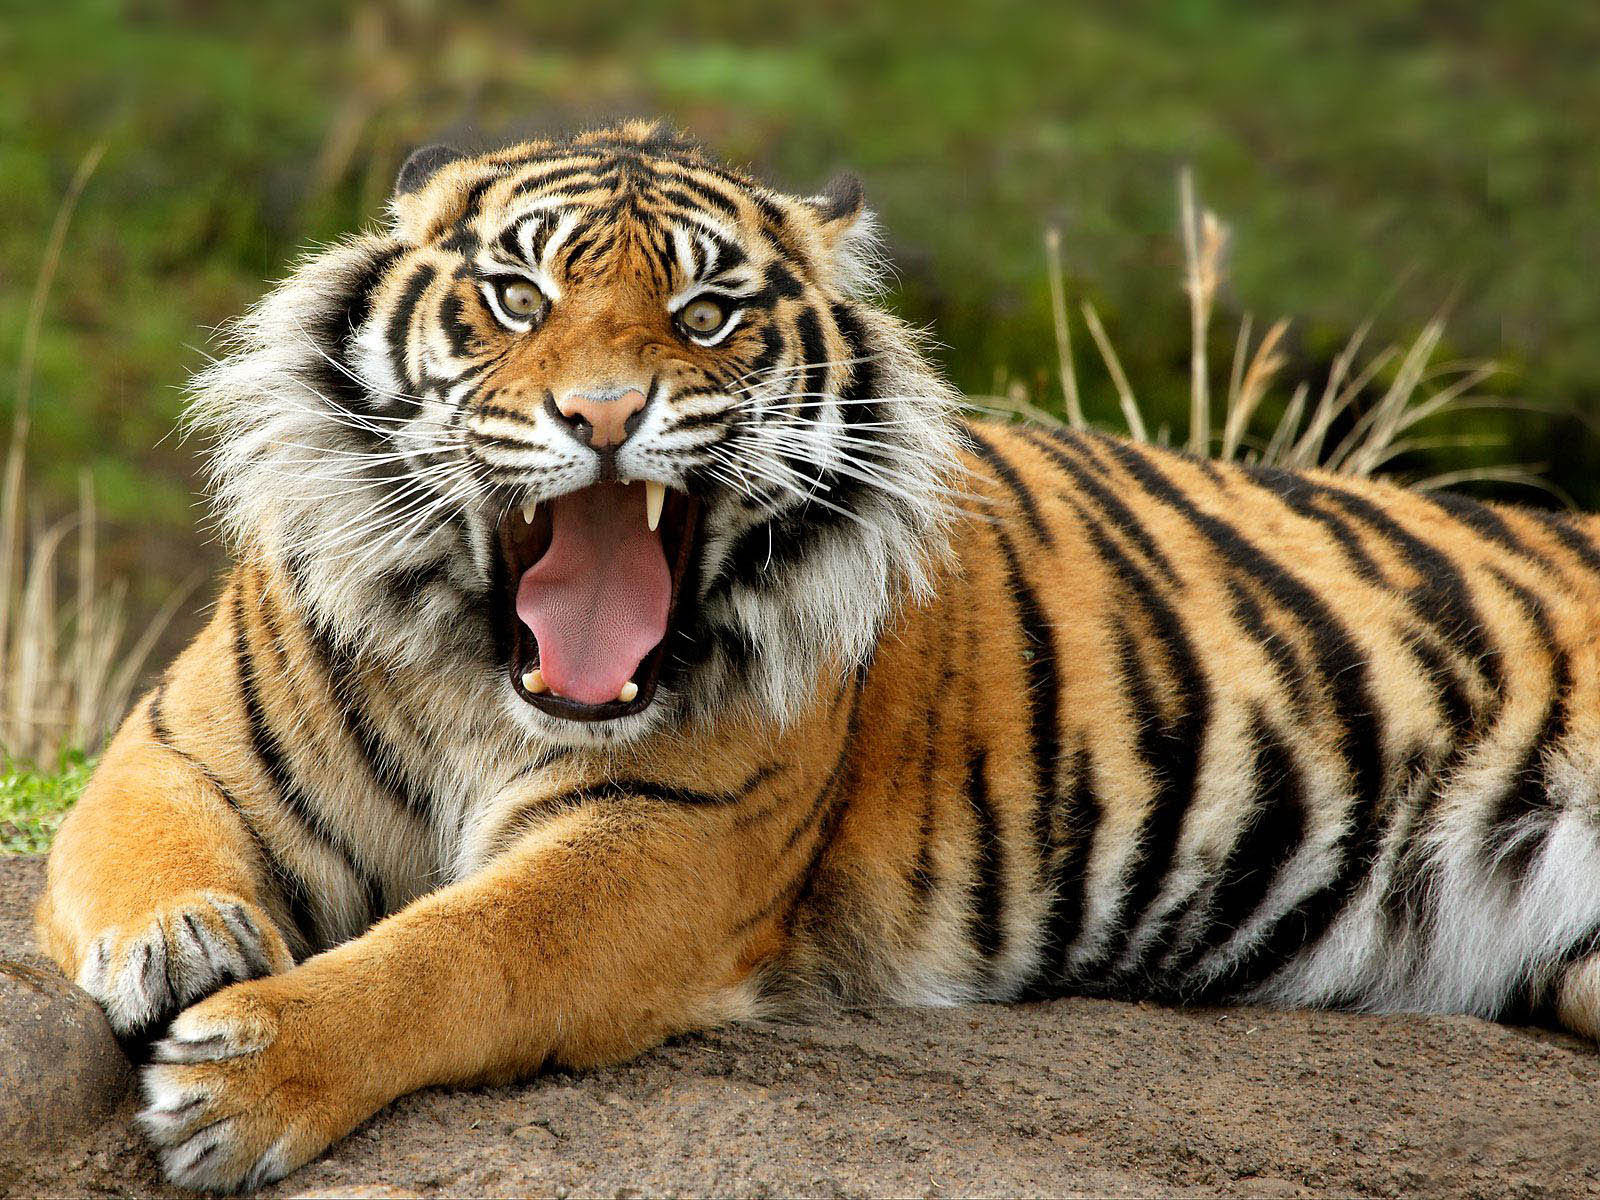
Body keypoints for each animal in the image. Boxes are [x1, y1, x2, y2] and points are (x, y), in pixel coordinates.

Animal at [32, 120, 1600, 1191]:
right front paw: (184, 945)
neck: (482, 674)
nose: (605, 416)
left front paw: (246, 1080)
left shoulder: (661, 844)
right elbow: (139, 850)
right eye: (520, 300)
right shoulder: (176, 746)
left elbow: (458, 951)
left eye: (705, 314)